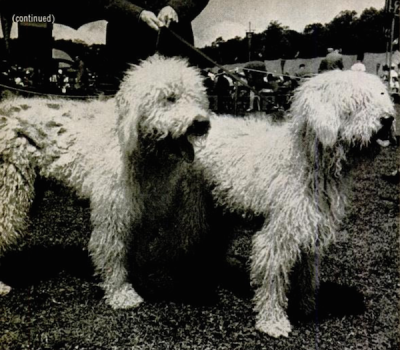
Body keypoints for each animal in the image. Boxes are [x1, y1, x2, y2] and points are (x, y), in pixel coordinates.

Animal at [0, 54, 211, 306]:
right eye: (170, 98)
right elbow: (113, 249)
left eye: (197, 97)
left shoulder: (145, 212)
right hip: (9, 190)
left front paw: (142, 283)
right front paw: (121, 293)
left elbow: (138, 251)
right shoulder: (115, 209)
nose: (202, 123)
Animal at [195, 70, 396, 336]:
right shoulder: (279, 233)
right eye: (357, 101)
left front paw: (307, 307)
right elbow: (273, 279)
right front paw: (272, 321)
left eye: (381, 95)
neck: (306, 159)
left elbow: (308, 275)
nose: (388, 119)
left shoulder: (310, 228)